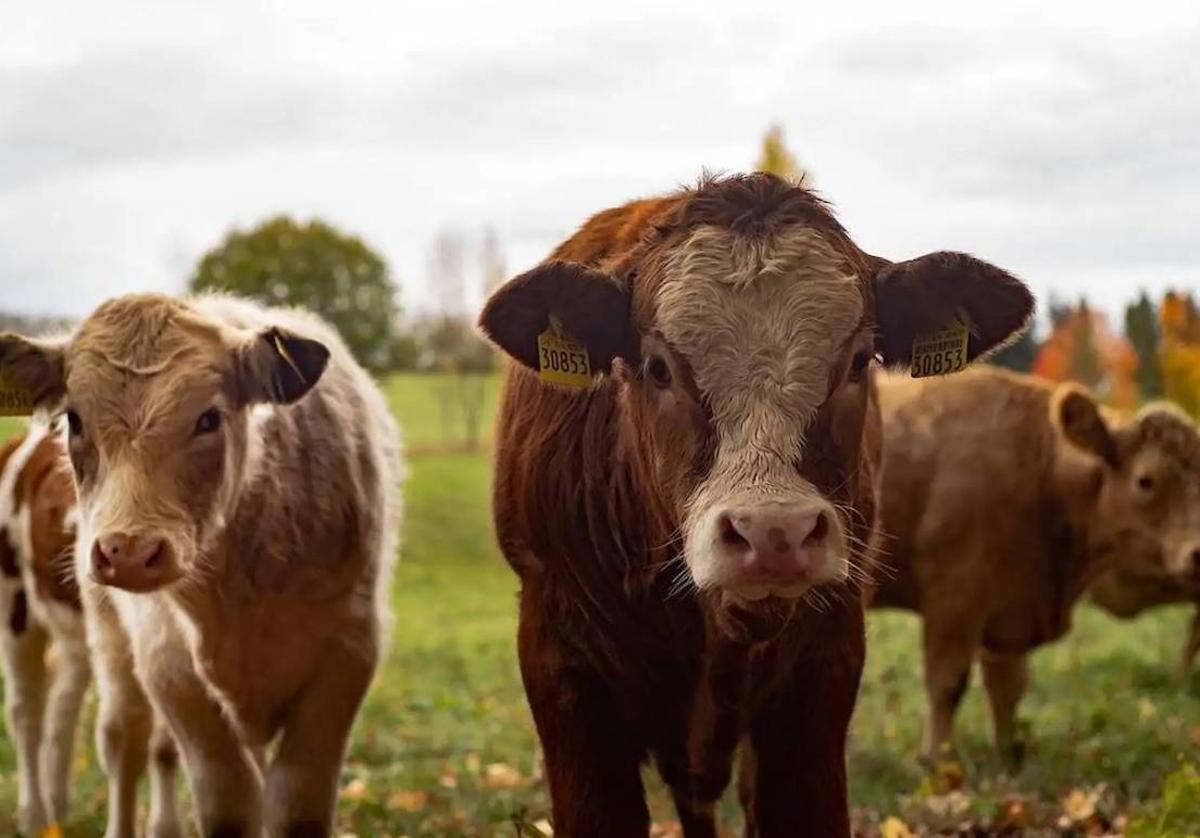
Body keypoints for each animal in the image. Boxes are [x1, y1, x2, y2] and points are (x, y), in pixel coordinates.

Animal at [0, 294, 405, 835]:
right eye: (75, 420)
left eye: (209, 418)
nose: (128, 552)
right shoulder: (171, 667)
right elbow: (226, 802)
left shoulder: (348, 653)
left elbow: (296, 805)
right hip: (37, 616)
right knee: (72, 726)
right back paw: (38, 813)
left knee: (71, 710)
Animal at [868, 364, 1200, 763]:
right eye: (1145, 481)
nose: (1199, 552)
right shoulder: (954, 599)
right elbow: (948, 683)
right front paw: (939, 762)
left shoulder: (1009, 611)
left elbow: (1008, 688)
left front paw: (1007, 757)